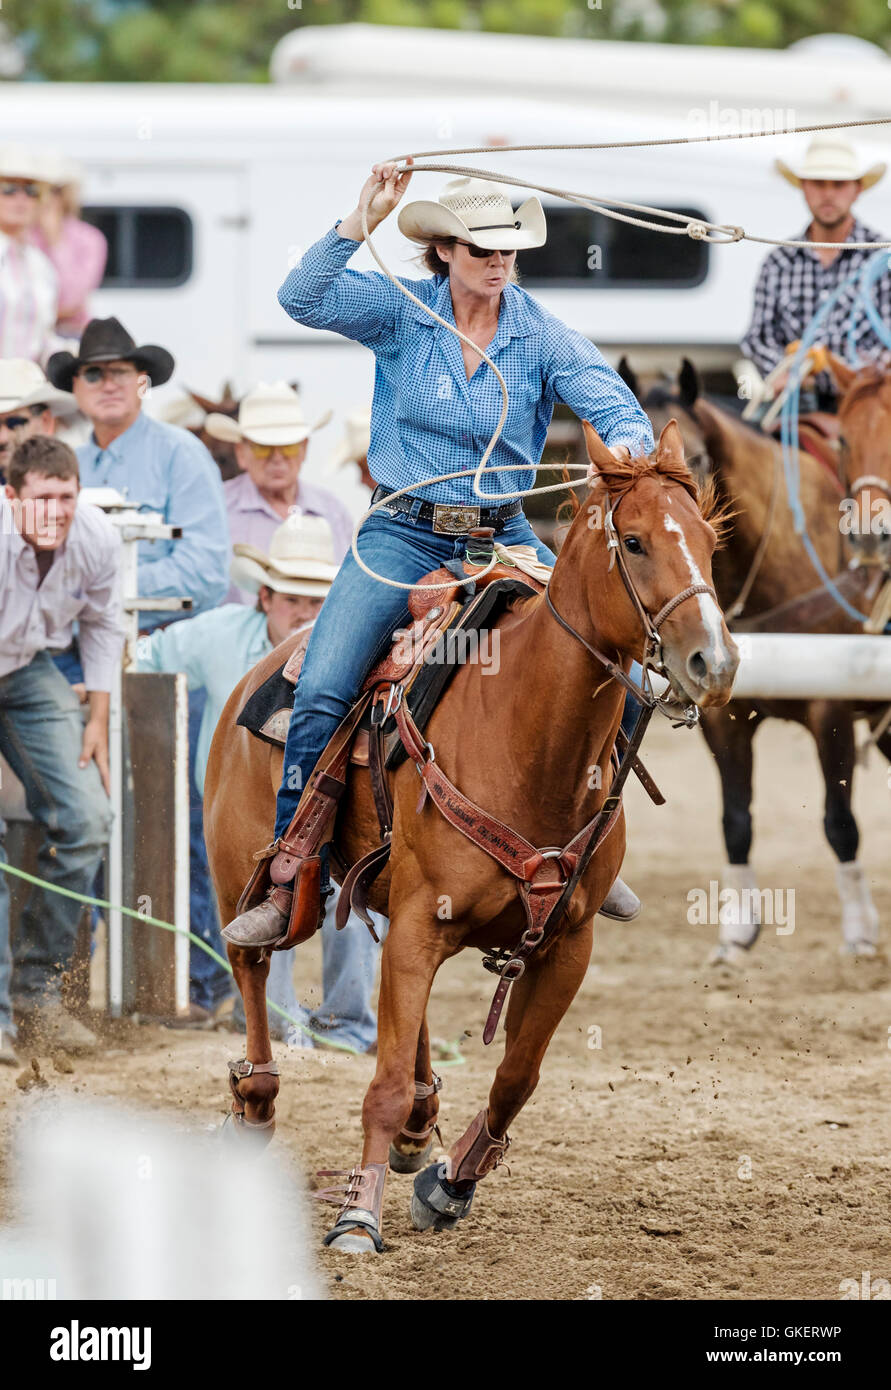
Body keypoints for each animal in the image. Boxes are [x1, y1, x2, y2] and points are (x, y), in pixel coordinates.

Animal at [202, 417, 733, 1256]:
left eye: (709, 543)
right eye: (636, 541)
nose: (713, 662)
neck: (527, 739)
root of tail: (258, 671)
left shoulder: (564, 943)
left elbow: (515, 1076)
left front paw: (447, 1183)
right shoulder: (425, 921)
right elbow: (380, 1083)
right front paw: (357, 1216)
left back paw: (422, 1122)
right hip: (242, 873)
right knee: (253, 965)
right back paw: (255, 1101)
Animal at [617, 358, 889, 961]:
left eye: (693, 462)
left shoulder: (830, 710)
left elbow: (841, 823)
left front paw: (859, 930)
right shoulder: (724, 718)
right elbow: (735, 819)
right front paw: (737, 932)